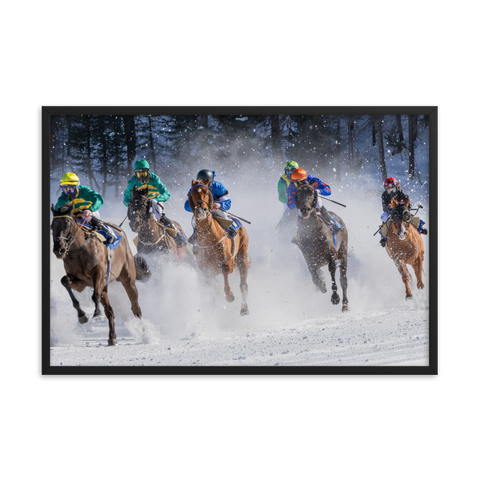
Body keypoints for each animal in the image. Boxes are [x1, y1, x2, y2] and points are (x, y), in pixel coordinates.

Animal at [52, 202, 143, 344]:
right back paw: (112, 337)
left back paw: (145, 334)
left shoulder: (99, 272)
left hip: (128, 278)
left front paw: (97, 314)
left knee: (135, 307)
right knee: (109, 310)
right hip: (104, 286)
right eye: (52, 226)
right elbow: (65, 280)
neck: (79, 250)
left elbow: (95, 295)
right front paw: (82, 315)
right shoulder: (80, 282)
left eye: (67, 224)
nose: (59, 249)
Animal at [187, 180, 249, 316]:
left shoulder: (229, 260)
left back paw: (244, 308)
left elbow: (225, 270)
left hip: (242, 255)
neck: (208, 237)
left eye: (206, 192)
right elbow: (213, 286)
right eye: (192, 193)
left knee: (243, 285)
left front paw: (229, 294)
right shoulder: (205, 268)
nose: (201, 210)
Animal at [292, 184, 348, 312]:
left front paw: (335, 297)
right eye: (298, 194)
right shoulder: (309, 259)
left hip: (343, 253)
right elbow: (314, 277)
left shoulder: (332, 254)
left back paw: (345, 304)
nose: (305, 209)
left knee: (343, 280)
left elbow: (332, 271)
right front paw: (322, 284)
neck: (313, 235)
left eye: (311, 193)